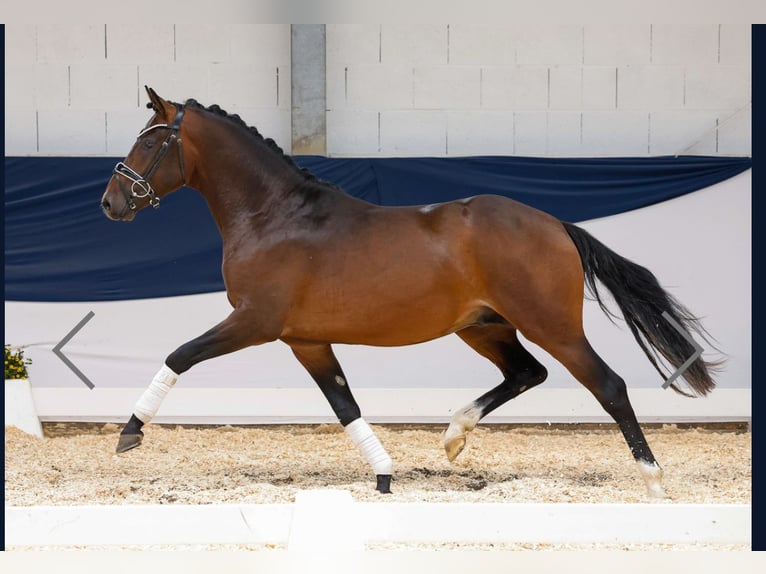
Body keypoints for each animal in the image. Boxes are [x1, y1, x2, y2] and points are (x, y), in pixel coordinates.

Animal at [102, 86, 720, 500]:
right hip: (484, 326)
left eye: (150, 143)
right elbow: (345, 405)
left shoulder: (255, 322)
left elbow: (179, 355)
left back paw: (653, 480)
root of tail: (554, 224)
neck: (274, 215)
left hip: (552, 325)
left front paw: (130, 433)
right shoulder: (305, 340)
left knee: (607, 385)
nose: (111, 202)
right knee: (527, 372)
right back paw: (453, 436)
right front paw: (383, 476)